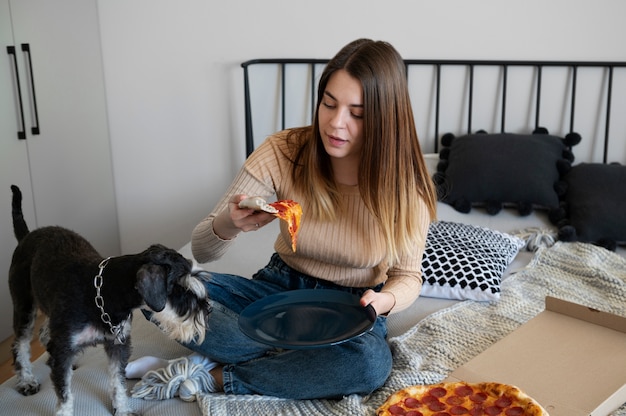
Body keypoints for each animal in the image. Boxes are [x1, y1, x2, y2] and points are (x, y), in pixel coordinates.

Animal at [7, 186, 212, 416]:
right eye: (182, 293)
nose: (209, 311)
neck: (104, 293)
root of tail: (27, 236)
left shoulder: (117, 346)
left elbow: (117, 382)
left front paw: (122, 409)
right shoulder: (63, 349)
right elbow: (64, 394)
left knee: (44, 332)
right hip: (24, 305)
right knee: (20, 343)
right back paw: (26, 380)